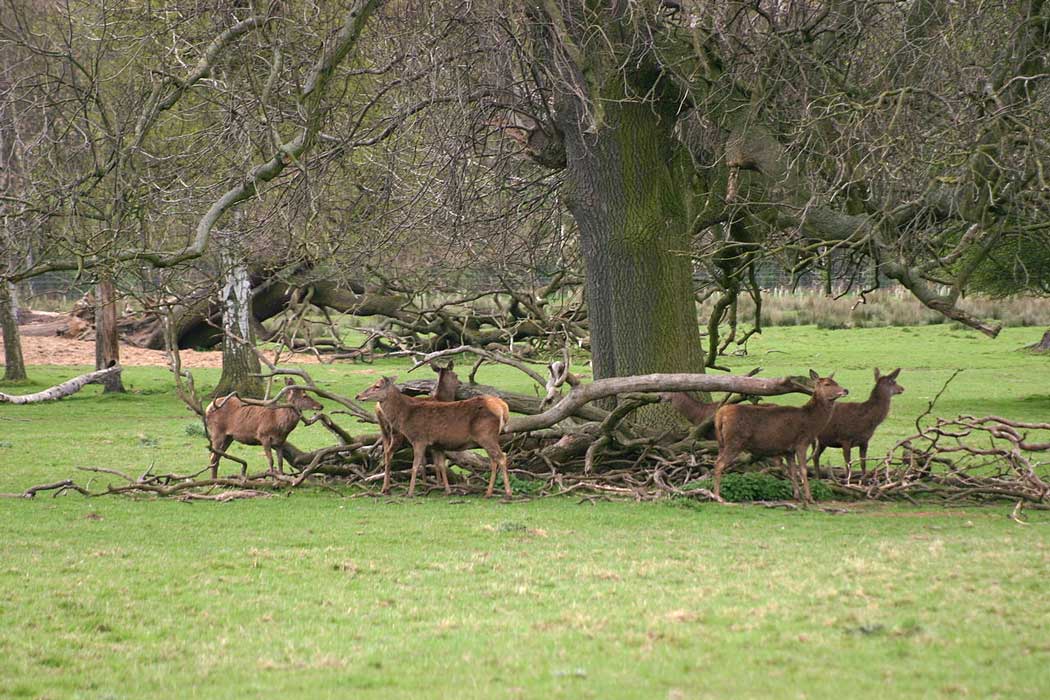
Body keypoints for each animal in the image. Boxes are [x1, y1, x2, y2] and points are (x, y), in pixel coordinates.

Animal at [356, 377, 512, 497]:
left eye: (377, 386)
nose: (358, 396)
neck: (405, 417)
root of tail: (503, 408)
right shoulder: (437, 445)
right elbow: (441, 465)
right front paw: (447, 490)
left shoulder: (419, 439)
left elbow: (415, 465)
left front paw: (410, 492)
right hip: (488, 438)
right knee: (494, 460)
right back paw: (489, 493)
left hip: (486, 435)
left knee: (501, 457)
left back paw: (508, 494)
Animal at [375, 361, 461, 493]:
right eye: (456, 375)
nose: (460, 383)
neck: (441, 399)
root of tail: (378, 408)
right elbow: (435, 462)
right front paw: (438, 484)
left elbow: (424, 461)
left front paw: (426, 484)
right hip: (396, 433)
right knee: (389, 453)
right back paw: (386, 487)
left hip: (384, 431)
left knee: (384, 452)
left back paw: (385, 485)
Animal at [709, 371, 848, 503]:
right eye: (827, 384)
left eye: (836, 381)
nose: (846, 390)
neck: (812, 423)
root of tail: (720, 415)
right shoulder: (802, 442)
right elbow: (803, 470)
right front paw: (810, 498)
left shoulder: (789, 450)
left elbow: (793, 471)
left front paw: (797, 496)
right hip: (735, 441)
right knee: (719, 464)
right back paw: (718, 497)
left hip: (721, 442)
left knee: (717, 461)